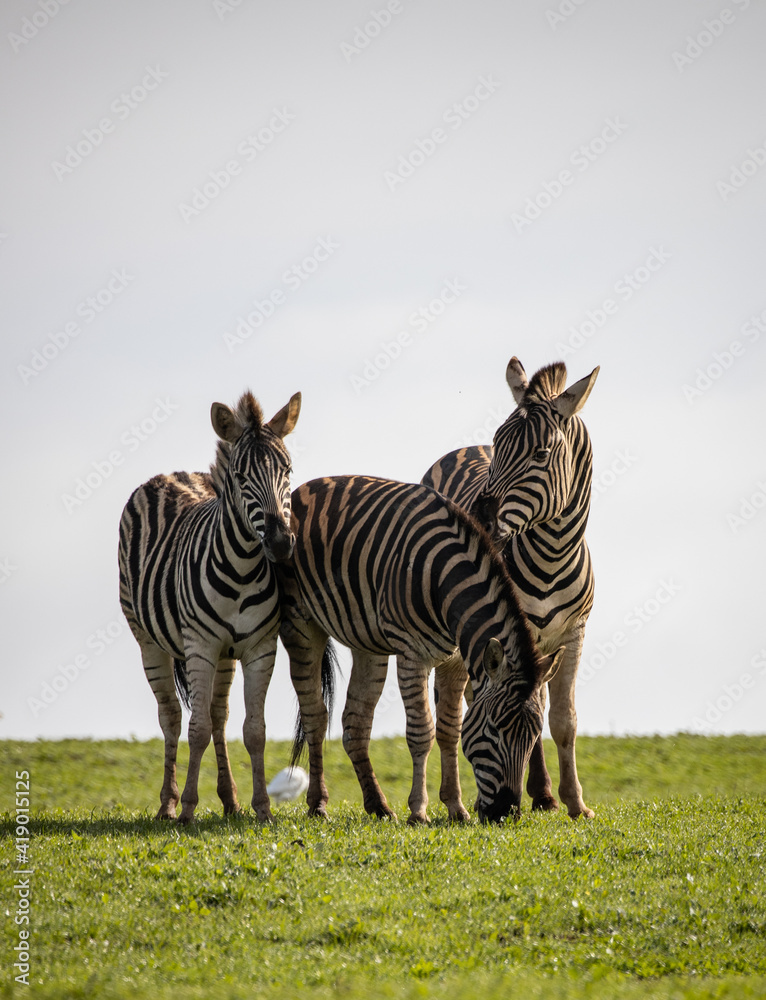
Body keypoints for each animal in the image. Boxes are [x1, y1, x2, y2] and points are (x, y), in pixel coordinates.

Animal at [118, 389, 301, 824]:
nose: (280, 543)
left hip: (225, 655)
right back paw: (167, 804)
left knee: (219, 716)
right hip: (146, 638)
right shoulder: (200, 647)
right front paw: (187, 808)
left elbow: (254, 730)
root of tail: (170, 473)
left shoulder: (260, 648)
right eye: (240, 477)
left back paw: (230, 800)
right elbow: (196, 728)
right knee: (171, 716)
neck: (244, 568)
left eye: (288, 469)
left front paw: (262, 808)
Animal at [279, 475, 564, 824]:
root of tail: (306, 486)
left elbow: (450, 730)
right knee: (316, 717)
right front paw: (418, 811)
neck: (445, 581)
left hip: (368, 644)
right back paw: (318, 804)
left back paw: (379, 806)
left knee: (355, 722)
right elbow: (421, 732)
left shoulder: (456, 662)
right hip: (301, 626)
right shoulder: (412, 654)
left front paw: (456, 807)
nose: (505, 813)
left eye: (535, 735)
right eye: (495, 730)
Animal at [422, 357, 599, 818]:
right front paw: (543, 794)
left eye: (541, 454)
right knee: (449, 713)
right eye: (499, 444)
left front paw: (575, 802)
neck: (554, 554)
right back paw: (454, 799)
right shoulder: (520, 634)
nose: (477, 515)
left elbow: (563, 719)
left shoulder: (575, 633)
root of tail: (463, 449)